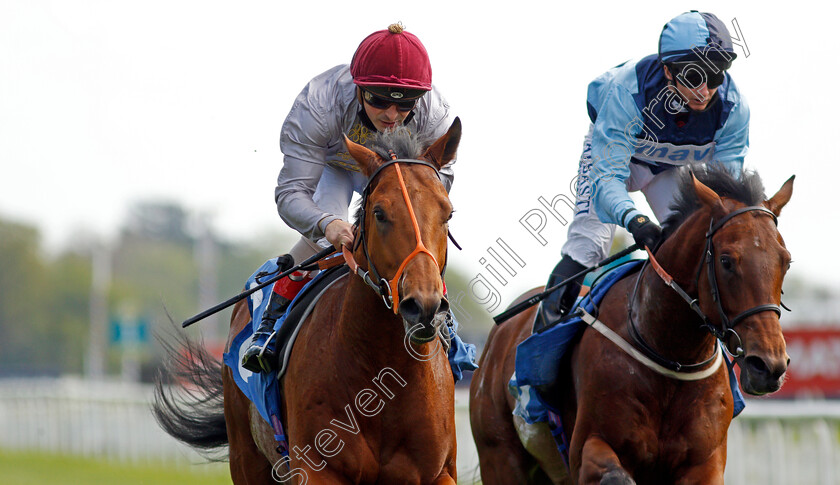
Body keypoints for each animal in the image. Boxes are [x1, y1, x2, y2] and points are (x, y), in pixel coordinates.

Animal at [154, 118, 462, 484]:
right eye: (379, 213)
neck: (383, 376)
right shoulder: (317, 468)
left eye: (448, 212)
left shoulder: (439, 473)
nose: (424, 306)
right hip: (247, 458)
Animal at [472, 167, 796, 484]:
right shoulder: (588, 448)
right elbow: (615, 476)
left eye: (786, 261)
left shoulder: (706, 463)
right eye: (727, 261)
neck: (671, 355)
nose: (769, 366)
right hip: (499, 456)